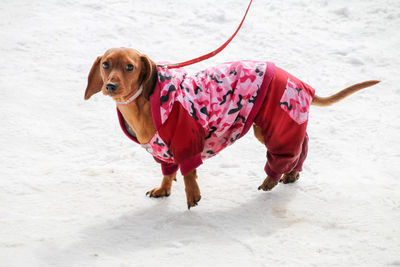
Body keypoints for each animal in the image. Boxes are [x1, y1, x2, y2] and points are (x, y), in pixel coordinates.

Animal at [84, 47, 378, 209]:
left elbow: (189, 173)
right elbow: (168, 173)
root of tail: (300, 82)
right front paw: (163, 189)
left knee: (291, 150)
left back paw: (273, 178)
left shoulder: (187, 142)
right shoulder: (163, 153)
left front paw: (192, 196)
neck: (142, 105)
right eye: (105, 64)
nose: (110, 85)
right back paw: (292, 173)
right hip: (274, 125)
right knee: (303, 143)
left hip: (277, 124)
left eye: (130, 67)